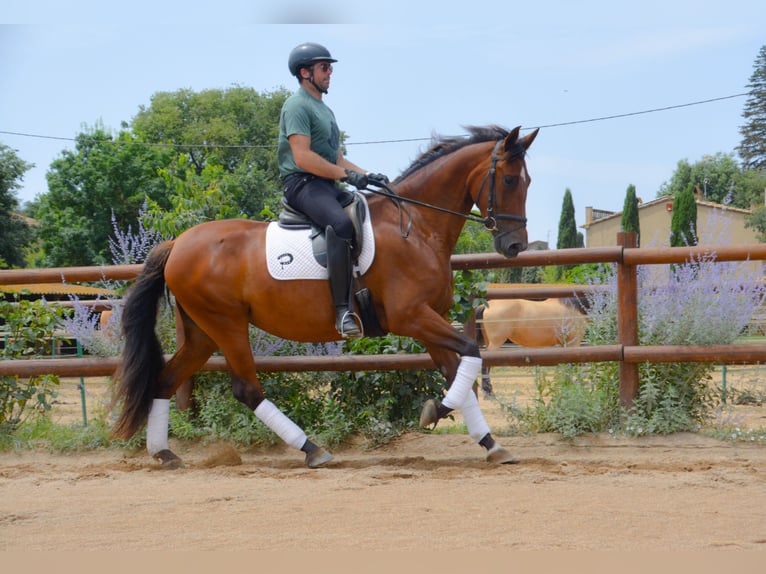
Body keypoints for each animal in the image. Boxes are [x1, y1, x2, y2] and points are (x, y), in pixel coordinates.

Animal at [110, 124, 539, 469]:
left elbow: (457, 369)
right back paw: (312, 450)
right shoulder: (412, 317)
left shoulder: (427, 320)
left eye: (528, 181)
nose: (515, 246)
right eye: (509, 181)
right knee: (247, 389)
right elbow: (470, 350)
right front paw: (436, 410)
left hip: (202, 332)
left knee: (166, 380)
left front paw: (490, 444)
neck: (417, 228)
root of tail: (177, 244)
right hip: (226, 324)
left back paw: (164, 453)